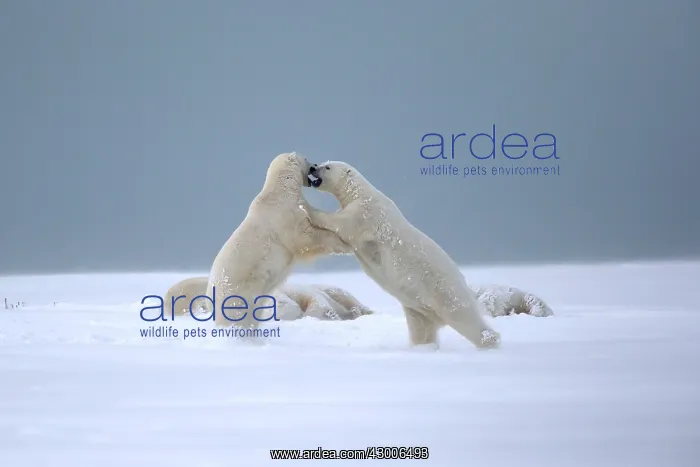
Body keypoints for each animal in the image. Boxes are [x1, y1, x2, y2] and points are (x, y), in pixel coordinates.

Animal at [205, 153, 353, 331]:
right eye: (306, 158)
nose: (315, 165)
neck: (279, 191)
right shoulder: (283, 215)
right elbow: (304, 237)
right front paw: (345, 245)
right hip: (236, 295)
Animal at [303, 160, 501, 349]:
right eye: (322, 162)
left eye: (327, 167)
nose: (313, 167)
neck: (360, 192)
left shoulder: (365, 213)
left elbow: (341, 223)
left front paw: (306, 206)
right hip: (419, 309)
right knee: (421, 328)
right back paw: (422, 347)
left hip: (444, 290)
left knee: (463, 317)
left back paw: (490, 341)